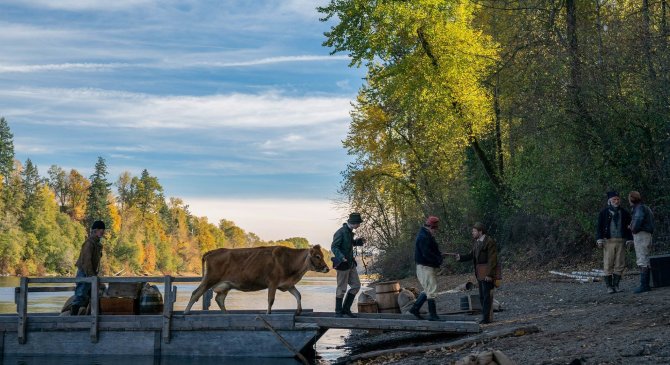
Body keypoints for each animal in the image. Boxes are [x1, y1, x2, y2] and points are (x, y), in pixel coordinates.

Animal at [184, 243, 330, 314]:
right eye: (317, 256)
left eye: (322, 255)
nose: (327, 269)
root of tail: (213, 251)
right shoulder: (273, 282)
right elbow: (271, 300)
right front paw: (267, 313)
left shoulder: (287, 284)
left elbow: (298, 295)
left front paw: (299, 310)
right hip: (210, 278)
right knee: (195, 293)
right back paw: (185, 313)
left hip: (225, 285)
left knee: (219, 299)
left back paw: (227, 314)